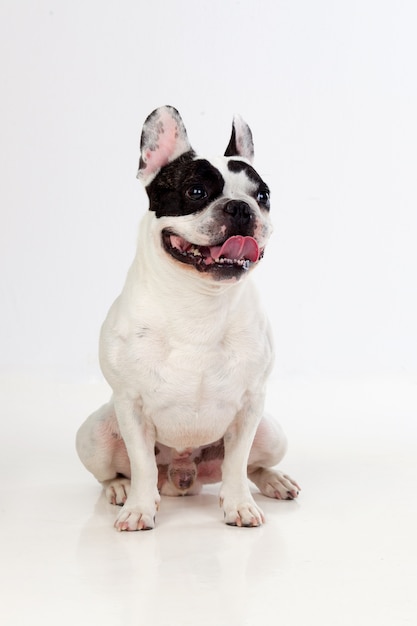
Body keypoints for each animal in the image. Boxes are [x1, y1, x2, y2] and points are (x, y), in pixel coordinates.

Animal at [75, 103, 300, 528]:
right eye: (196, 192)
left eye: (262, 196)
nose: (240, 207)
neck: (200, 299)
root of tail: (183, 477)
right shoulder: (130, 404)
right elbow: (142, 464)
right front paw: (139, 508)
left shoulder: (251, 406)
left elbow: (237, 463)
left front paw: (239, 504)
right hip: (93, 435)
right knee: (113, 472)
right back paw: (120, 489)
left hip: (272, 432)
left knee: (252, 465)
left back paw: (274, 481)